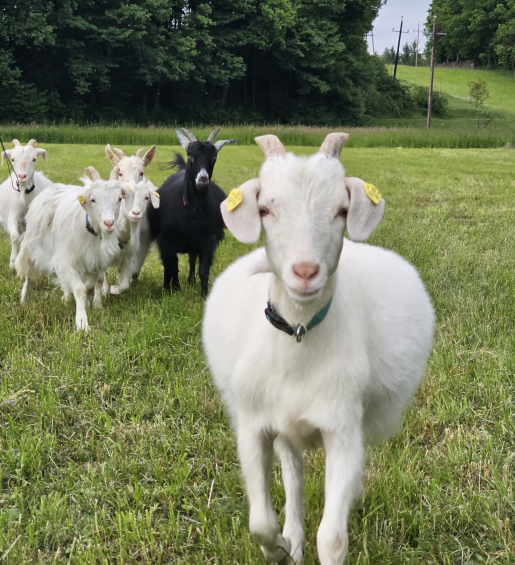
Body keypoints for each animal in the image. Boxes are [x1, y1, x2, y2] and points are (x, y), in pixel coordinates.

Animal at [0, 137, 51, 268]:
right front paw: (12, 263)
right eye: (12, 159)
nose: (22, 176)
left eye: (34, 159)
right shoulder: (13, 215)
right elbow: (14, 236)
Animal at [15, 165, 126, 328]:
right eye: (93, 199)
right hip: (32, 246)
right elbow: (79, 289)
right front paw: (82, 322)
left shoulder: (96, 261)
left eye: (119, 199)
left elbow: (91, 286)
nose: (109, 223)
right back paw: (23, 298)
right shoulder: (67, 260)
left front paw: (89, 305)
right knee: (28, 272)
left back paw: (67, 297)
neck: (89, 228)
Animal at [203, 131, 436, 564]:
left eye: (342, 210)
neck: (298, 337)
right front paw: (278, 547)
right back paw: (292, 540)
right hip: (284, 431)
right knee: (293, 477)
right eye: (264, 209)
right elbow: (259, 523)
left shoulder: (342, 427)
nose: (306, 272)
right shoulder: (254, 426)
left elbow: (332, 536)